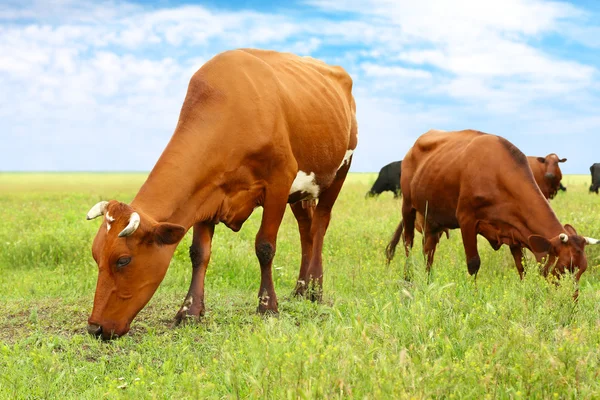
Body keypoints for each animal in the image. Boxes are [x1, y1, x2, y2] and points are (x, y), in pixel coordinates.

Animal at [84, 48, 356, 340]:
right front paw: (189, 311)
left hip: (339, 171)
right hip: (302, 190)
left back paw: (316, 290)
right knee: (306, 229)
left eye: (123, 260)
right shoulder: (206, 194)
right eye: (96, 256)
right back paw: (301, 289)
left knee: (320, 225)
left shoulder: (280, 181)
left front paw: (267, 307)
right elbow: (199, 253)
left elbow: (265, 246)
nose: (94, 327)